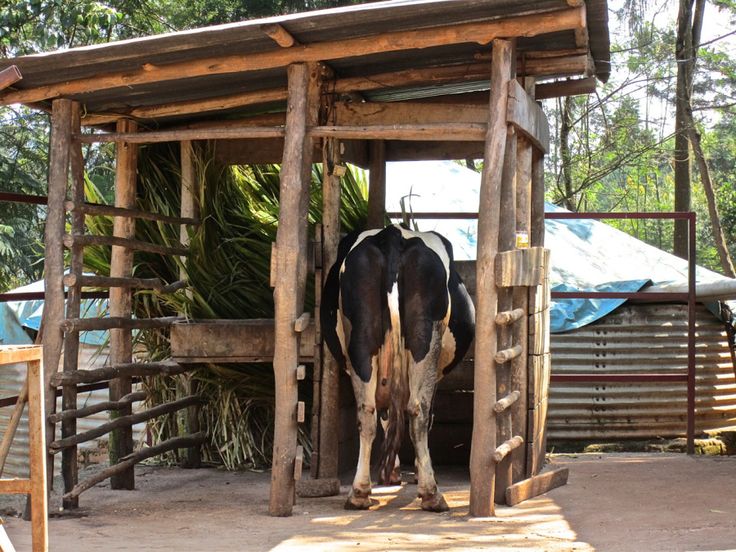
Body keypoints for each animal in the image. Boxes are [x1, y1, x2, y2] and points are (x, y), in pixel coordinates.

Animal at [322, 224, 478, 512]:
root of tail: (392, 234)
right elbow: (425, 418)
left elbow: (386, 417)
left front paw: (390, 471)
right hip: (425, 339)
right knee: (418, 411)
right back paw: (431, 493)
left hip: (361, 339)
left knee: (367, 412)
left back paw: (359, 493)